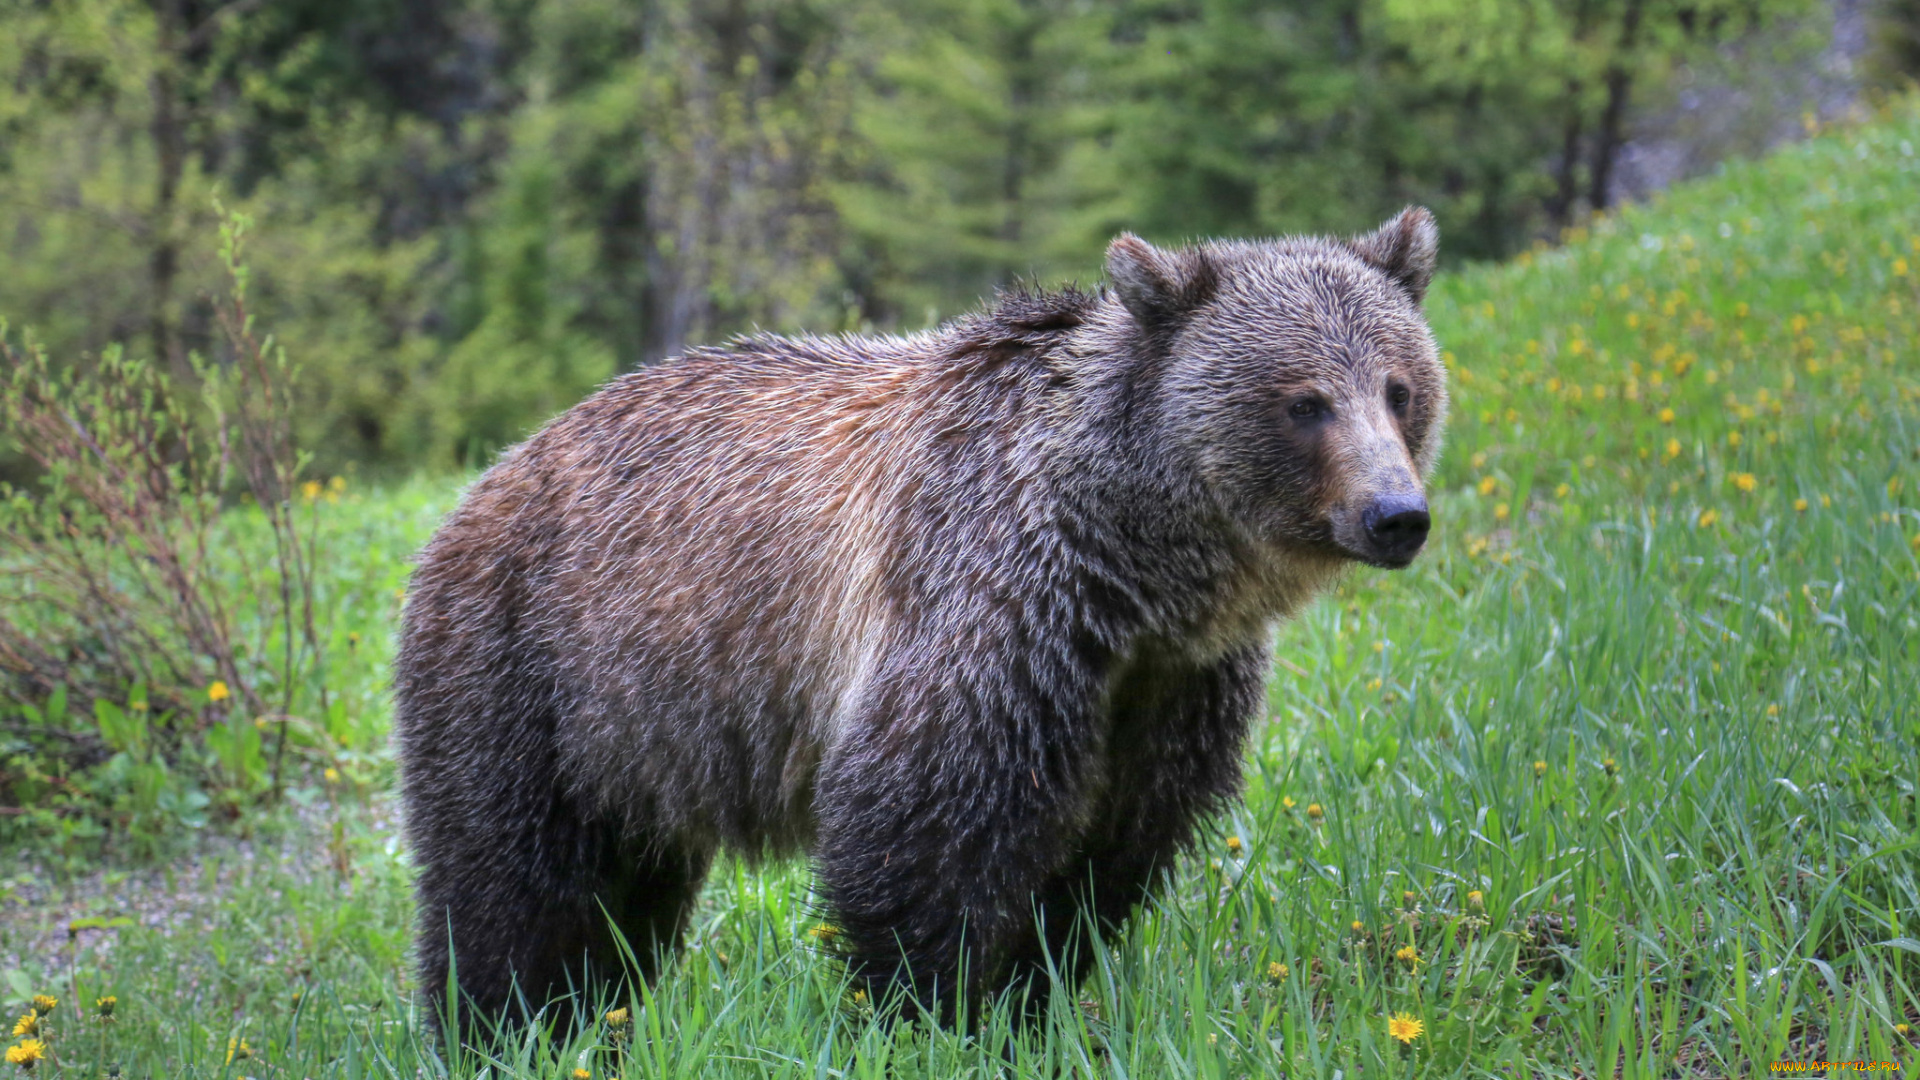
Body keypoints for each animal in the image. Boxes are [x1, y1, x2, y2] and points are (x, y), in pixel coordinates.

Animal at [397, 208, 1443, 1022]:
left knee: (628, 898)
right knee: (514, 888)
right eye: (1304, 401)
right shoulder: (989, 607)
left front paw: (1034, 1000)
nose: (1396, 513)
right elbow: (924, 833)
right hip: (535, 667)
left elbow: (1107, 857)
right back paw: (503, 1023)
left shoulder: (1166, 684)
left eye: (1400, 387)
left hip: (640, 738)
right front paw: (928, 1009)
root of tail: (493, 474)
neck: (1133, 565)